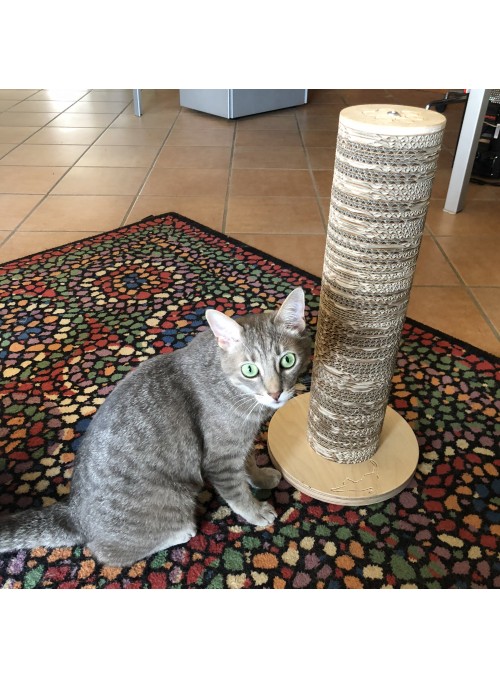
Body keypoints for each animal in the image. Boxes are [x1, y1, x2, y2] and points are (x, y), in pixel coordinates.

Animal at [0, 286, 310, 568]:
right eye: (250, 370)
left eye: (288, 360)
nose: (275, 393)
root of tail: (75, 514)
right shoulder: (220, 456)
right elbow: (236, 492)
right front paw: (255, 511)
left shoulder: (239, 442)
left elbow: (249, 463)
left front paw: (261, 477)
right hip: (172, 501)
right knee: (108, 554)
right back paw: (181, 532)